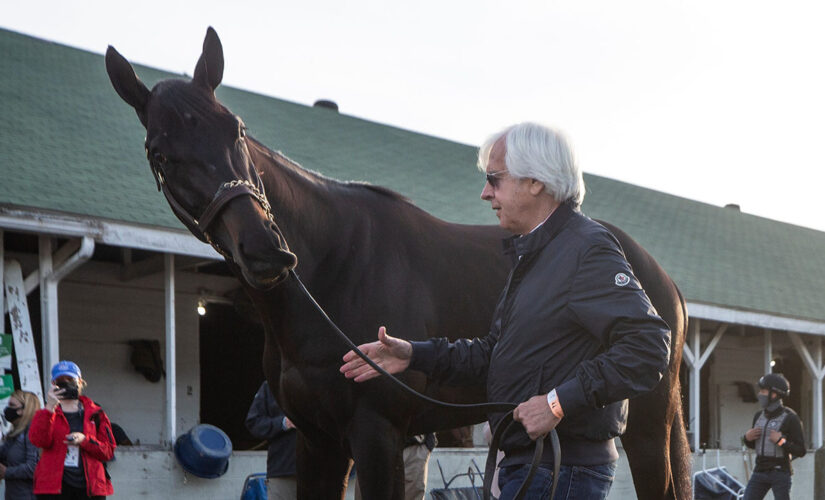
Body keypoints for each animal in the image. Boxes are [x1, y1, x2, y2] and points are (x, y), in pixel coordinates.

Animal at [106, 28, 692, 500]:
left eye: (237, 129)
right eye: (160, 154)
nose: (266, 251)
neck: (334, 270)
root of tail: (657, 274)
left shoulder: (376, 435)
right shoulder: (319, 442)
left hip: (646, 429)